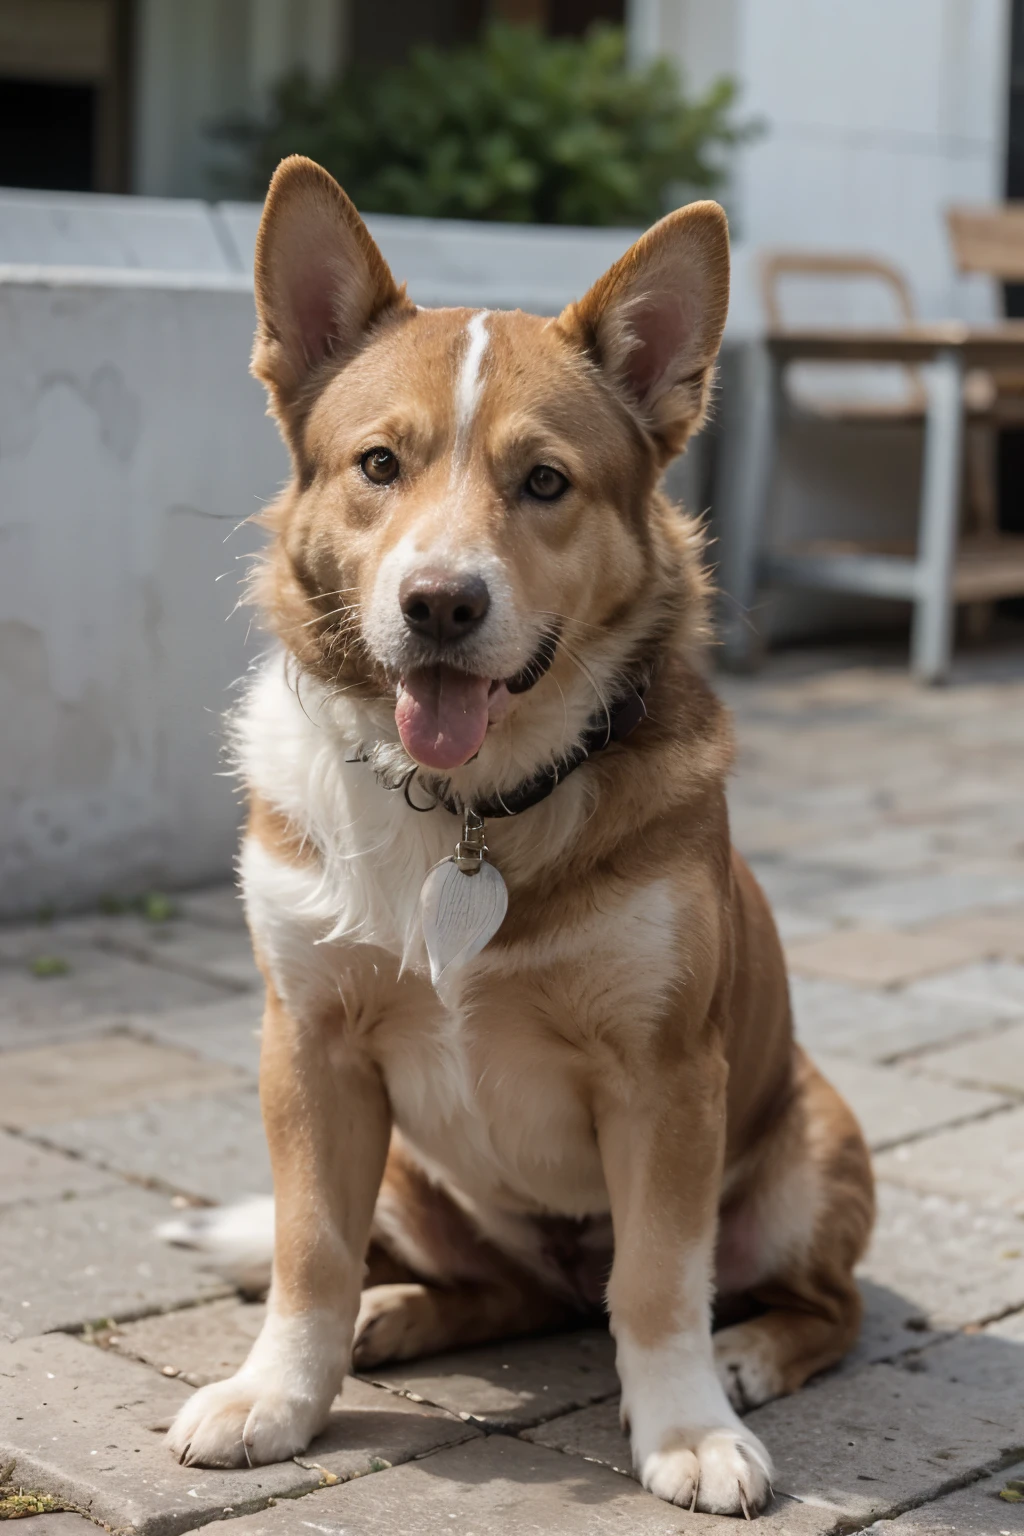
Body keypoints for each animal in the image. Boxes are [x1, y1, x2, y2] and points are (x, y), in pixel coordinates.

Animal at [164, 149, 878, 1517]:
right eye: (377, 465)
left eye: (544, 481)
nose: (439, 604)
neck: (463, 815)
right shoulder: (310, 1047)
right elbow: (307, 1251)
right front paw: (280, 1395)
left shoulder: (666, 1077)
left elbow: (659, 1281)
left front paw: (687, 1427)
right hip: (415, 1172)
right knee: (495, 1289)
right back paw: (397, 1314)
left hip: (808, 1148)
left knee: (819, 1304)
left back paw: (751, 1354)